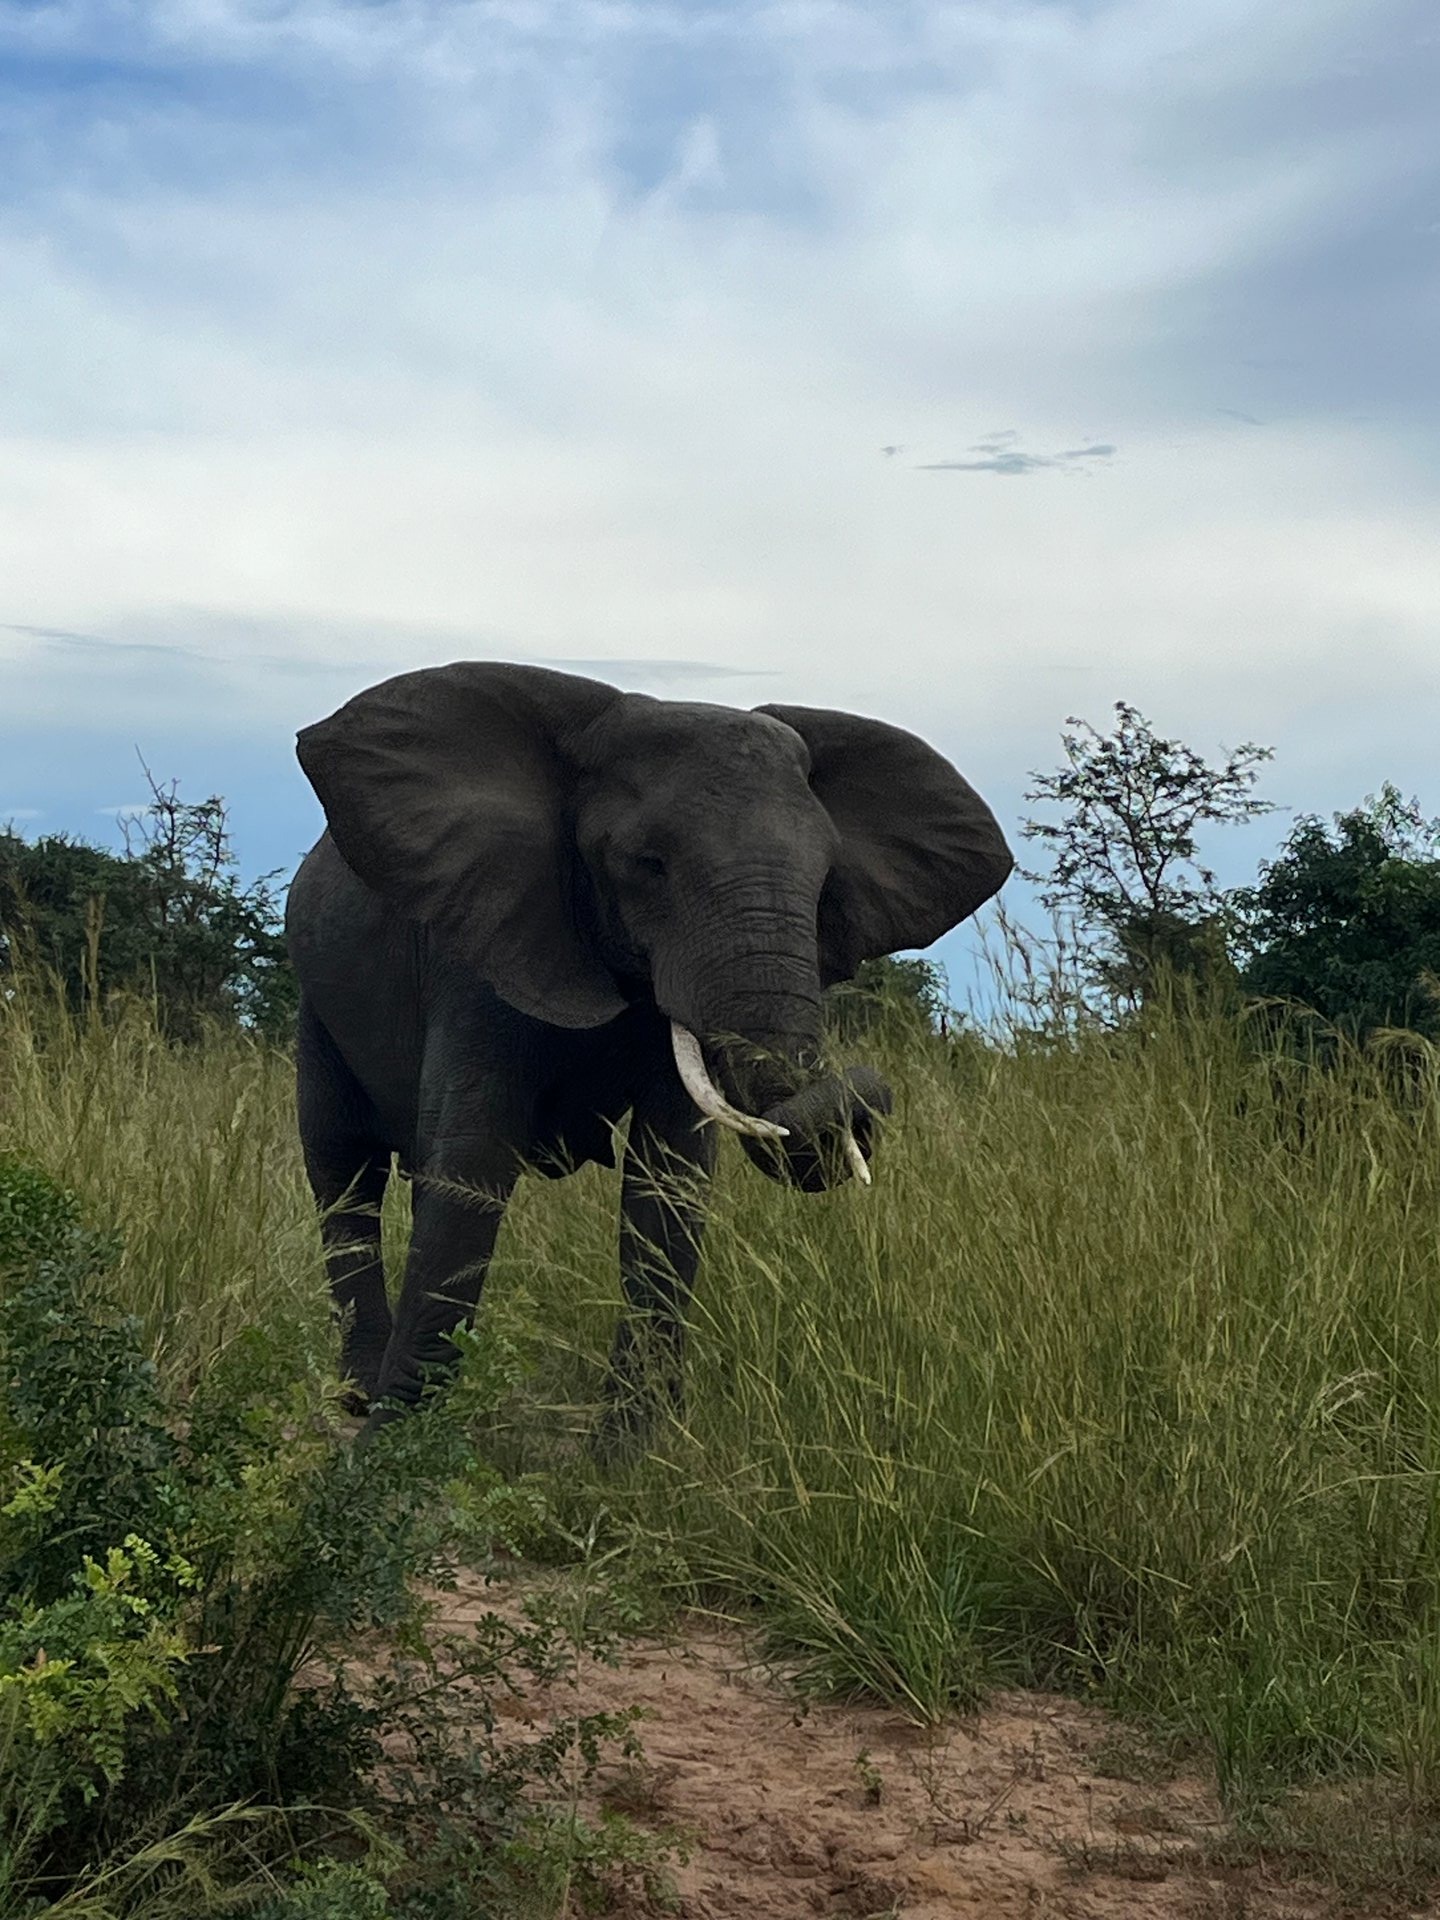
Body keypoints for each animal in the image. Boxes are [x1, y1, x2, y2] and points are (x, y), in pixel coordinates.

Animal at [285, 661, 1013, 1454]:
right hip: (315, 999)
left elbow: (668, 1184)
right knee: (343, 1172)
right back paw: (357, 1393)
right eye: (647, 865)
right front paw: (392, 1455)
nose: (846, 1112)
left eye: (825, 882)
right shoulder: (479, 947)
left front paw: (634, 1455)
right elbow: (469, 1175)